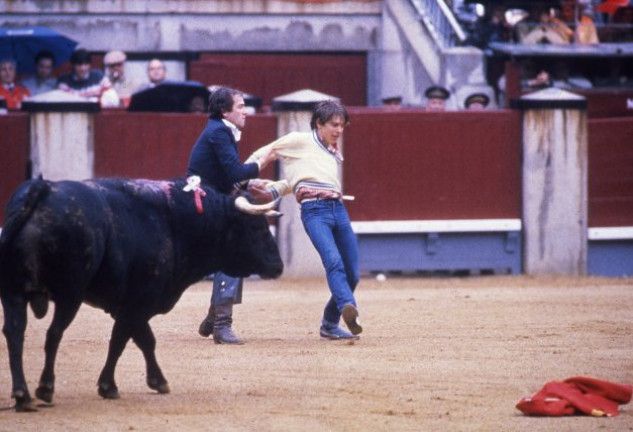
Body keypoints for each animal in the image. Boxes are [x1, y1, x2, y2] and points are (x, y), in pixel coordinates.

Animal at [0, 176, 282, 412]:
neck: (174, 222)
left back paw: (22, 395)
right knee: (53, 334)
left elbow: (143, 339)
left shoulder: (128, 306)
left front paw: (156, 381)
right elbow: (122, 341)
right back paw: (44, 389)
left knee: (14, 332)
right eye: (256, 227)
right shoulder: (137, 303)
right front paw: (109, 386)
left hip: (13, 292)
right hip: (70, 295)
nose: (278, 266)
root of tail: (42, 189)